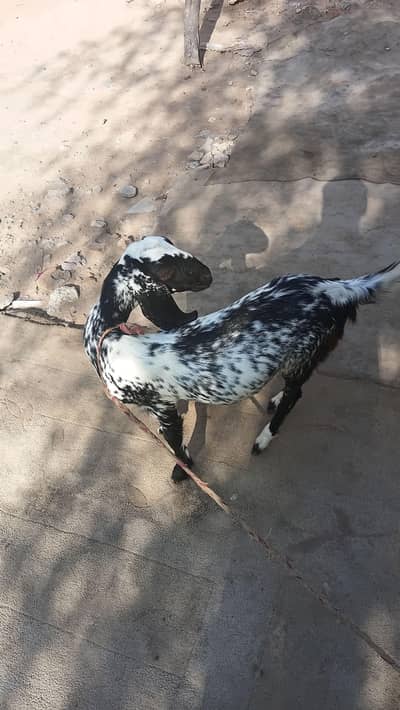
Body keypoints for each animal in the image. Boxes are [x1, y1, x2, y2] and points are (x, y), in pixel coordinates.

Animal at [85, 236, 400, 482]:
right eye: (167, 268)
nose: (208, 275)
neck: (109, 337)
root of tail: (336, 289)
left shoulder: (160, 407)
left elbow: (175, 444)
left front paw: (182, 471)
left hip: (304, 352)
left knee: (295, 394)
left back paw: (263, 438)